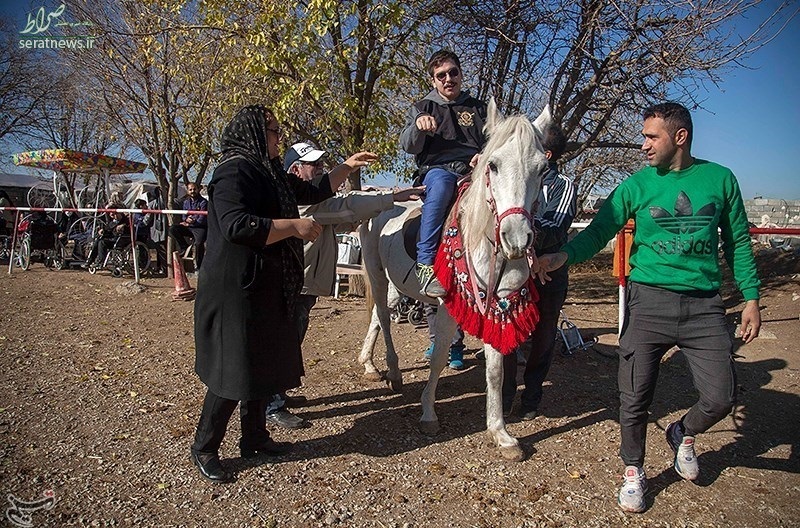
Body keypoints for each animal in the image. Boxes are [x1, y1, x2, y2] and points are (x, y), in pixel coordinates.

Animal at [358, 100, 552, 462]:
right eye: (493, 165)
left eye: (543, 168)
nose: (517, 239)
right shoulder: (448, 306)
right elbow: (438, 358)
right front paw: (428, 414)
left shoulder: (498, 304)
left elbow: (495, 371)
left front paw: (501, 433)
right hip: (377, 273)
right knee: (385, 321)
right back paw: (391, 371)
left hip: (395, 283)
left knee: (379, 316)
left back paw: (371, 365)